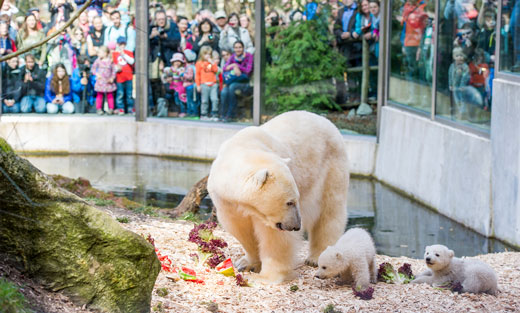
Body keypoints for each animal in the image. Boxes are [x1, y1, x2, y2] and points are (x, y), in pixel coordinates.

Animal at [207, 110, 350, 282]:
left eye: (295, 199)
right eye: (289, 202)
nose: (296, 226)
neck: (245, 147)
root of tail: (326, 120)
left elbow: (275, 238)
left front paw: (267, 276)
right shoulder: (226, 202)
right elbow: (241, 229)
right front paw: (247, 263)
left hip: (331, 166)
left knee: (329, 212)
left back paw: (316, 258)